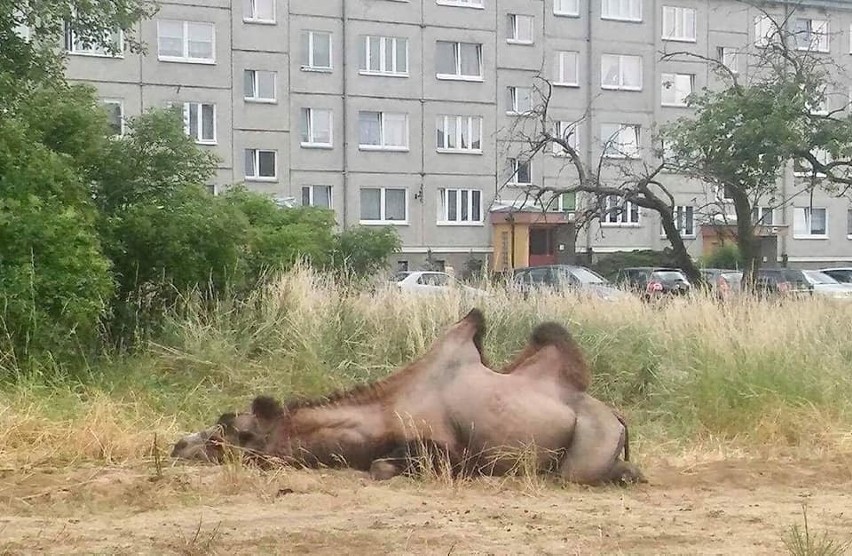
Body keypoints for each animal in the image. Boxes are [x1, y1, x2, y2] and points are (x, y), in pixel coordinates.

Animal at [170, 308, 644, 486]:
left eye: (227, 432)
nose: (178, 445)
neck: (382, 414)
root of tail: (618, 416)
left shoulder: (447, 450)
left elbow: (381, 466)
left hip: (589, 445)